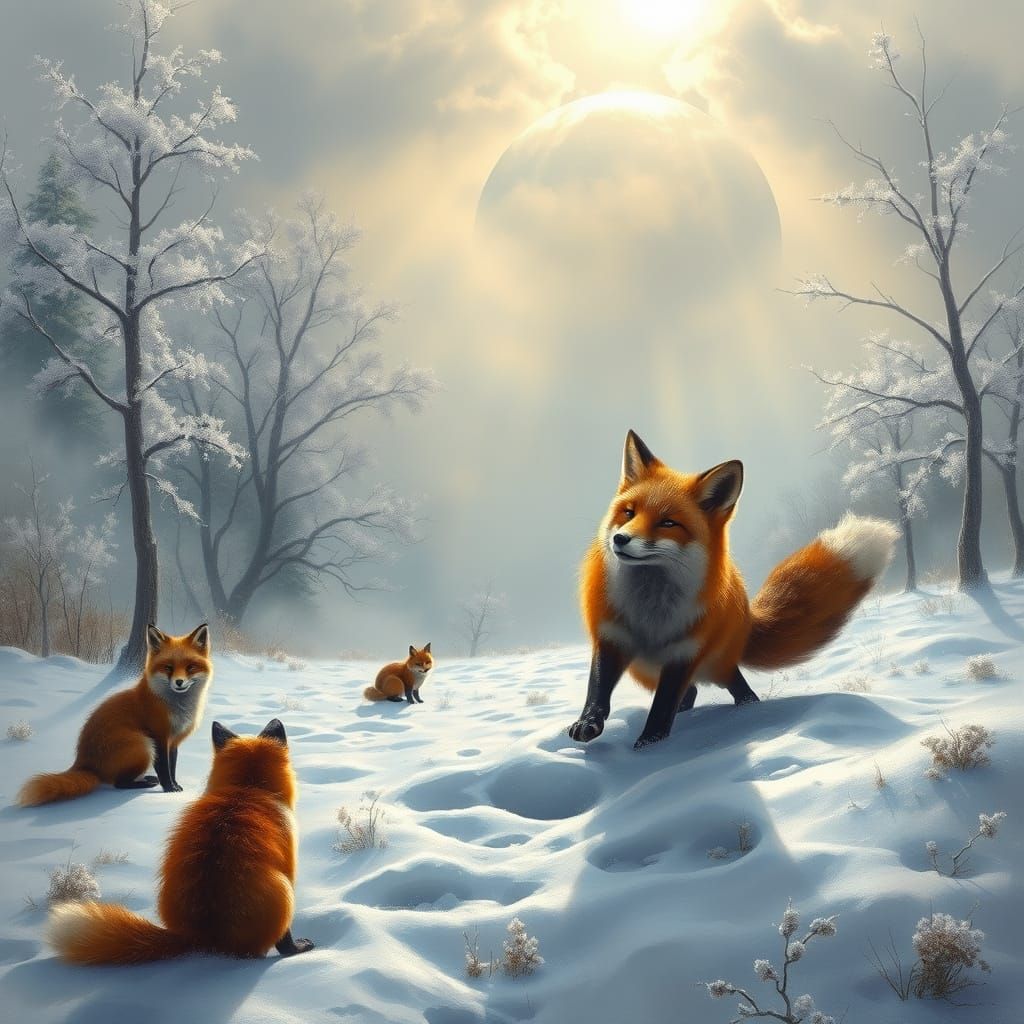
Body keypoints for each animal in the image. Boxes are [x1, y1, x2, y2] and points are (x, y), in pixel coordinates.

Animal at [17, 623, 212, 806]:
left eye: (190, 667)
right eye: (168, 667)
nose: (179, 682)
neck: (175, 707)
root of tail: (83, 762)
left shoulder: (173, 741)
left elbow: (172, 766)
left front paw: (175, 785)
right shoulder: (159, 737)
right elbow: (164, 768)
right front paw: (169, 789)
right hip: (143, 745)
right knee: (119, 783)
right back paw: (145, 783)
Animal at [569, 430, 898, 750]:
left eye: (668, 523)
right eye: (628, 513)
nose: (620, 539)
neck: (649, 613)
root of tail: (746, 618)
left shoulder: (685, 653)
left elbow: (662, 707)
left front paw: (650, 745)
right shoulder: (611, 637)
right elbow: (597, 691)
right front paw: (588, 724)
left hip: (714, 664)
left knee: (736, 687)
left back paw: (747, 710)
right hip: (645, 670)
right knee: (691, 693)